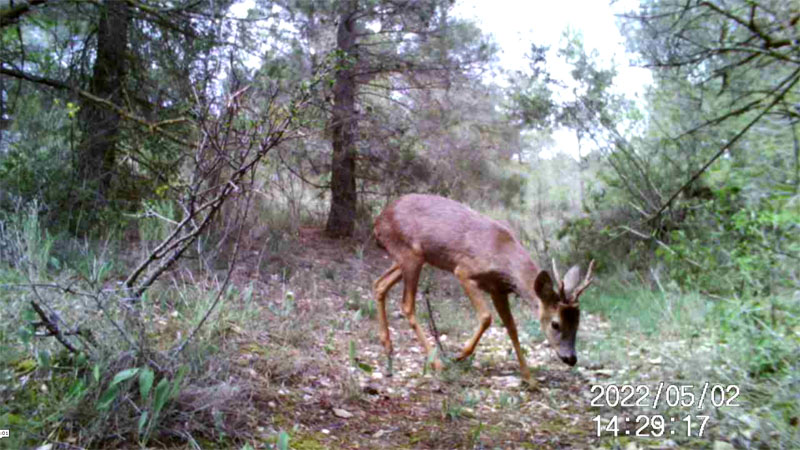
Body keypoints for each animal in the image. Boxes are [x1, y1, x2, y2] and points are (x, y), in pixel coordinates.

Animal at [372, 193, 592, 380]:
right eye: (555, 324)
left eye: (578, 322)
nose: (571, 358)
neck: (502, 255)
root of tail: (378, 221)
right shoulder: (464, 271)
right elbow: (486, 317)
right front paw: (460, 355)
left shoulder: (498, 290)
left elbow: (512, 328)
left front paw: (530, 379)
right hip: (412, 255)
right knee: (407, 304)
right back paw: (437, 363)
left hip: (407, 258)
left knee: (379, 284)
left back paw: (387, 346)